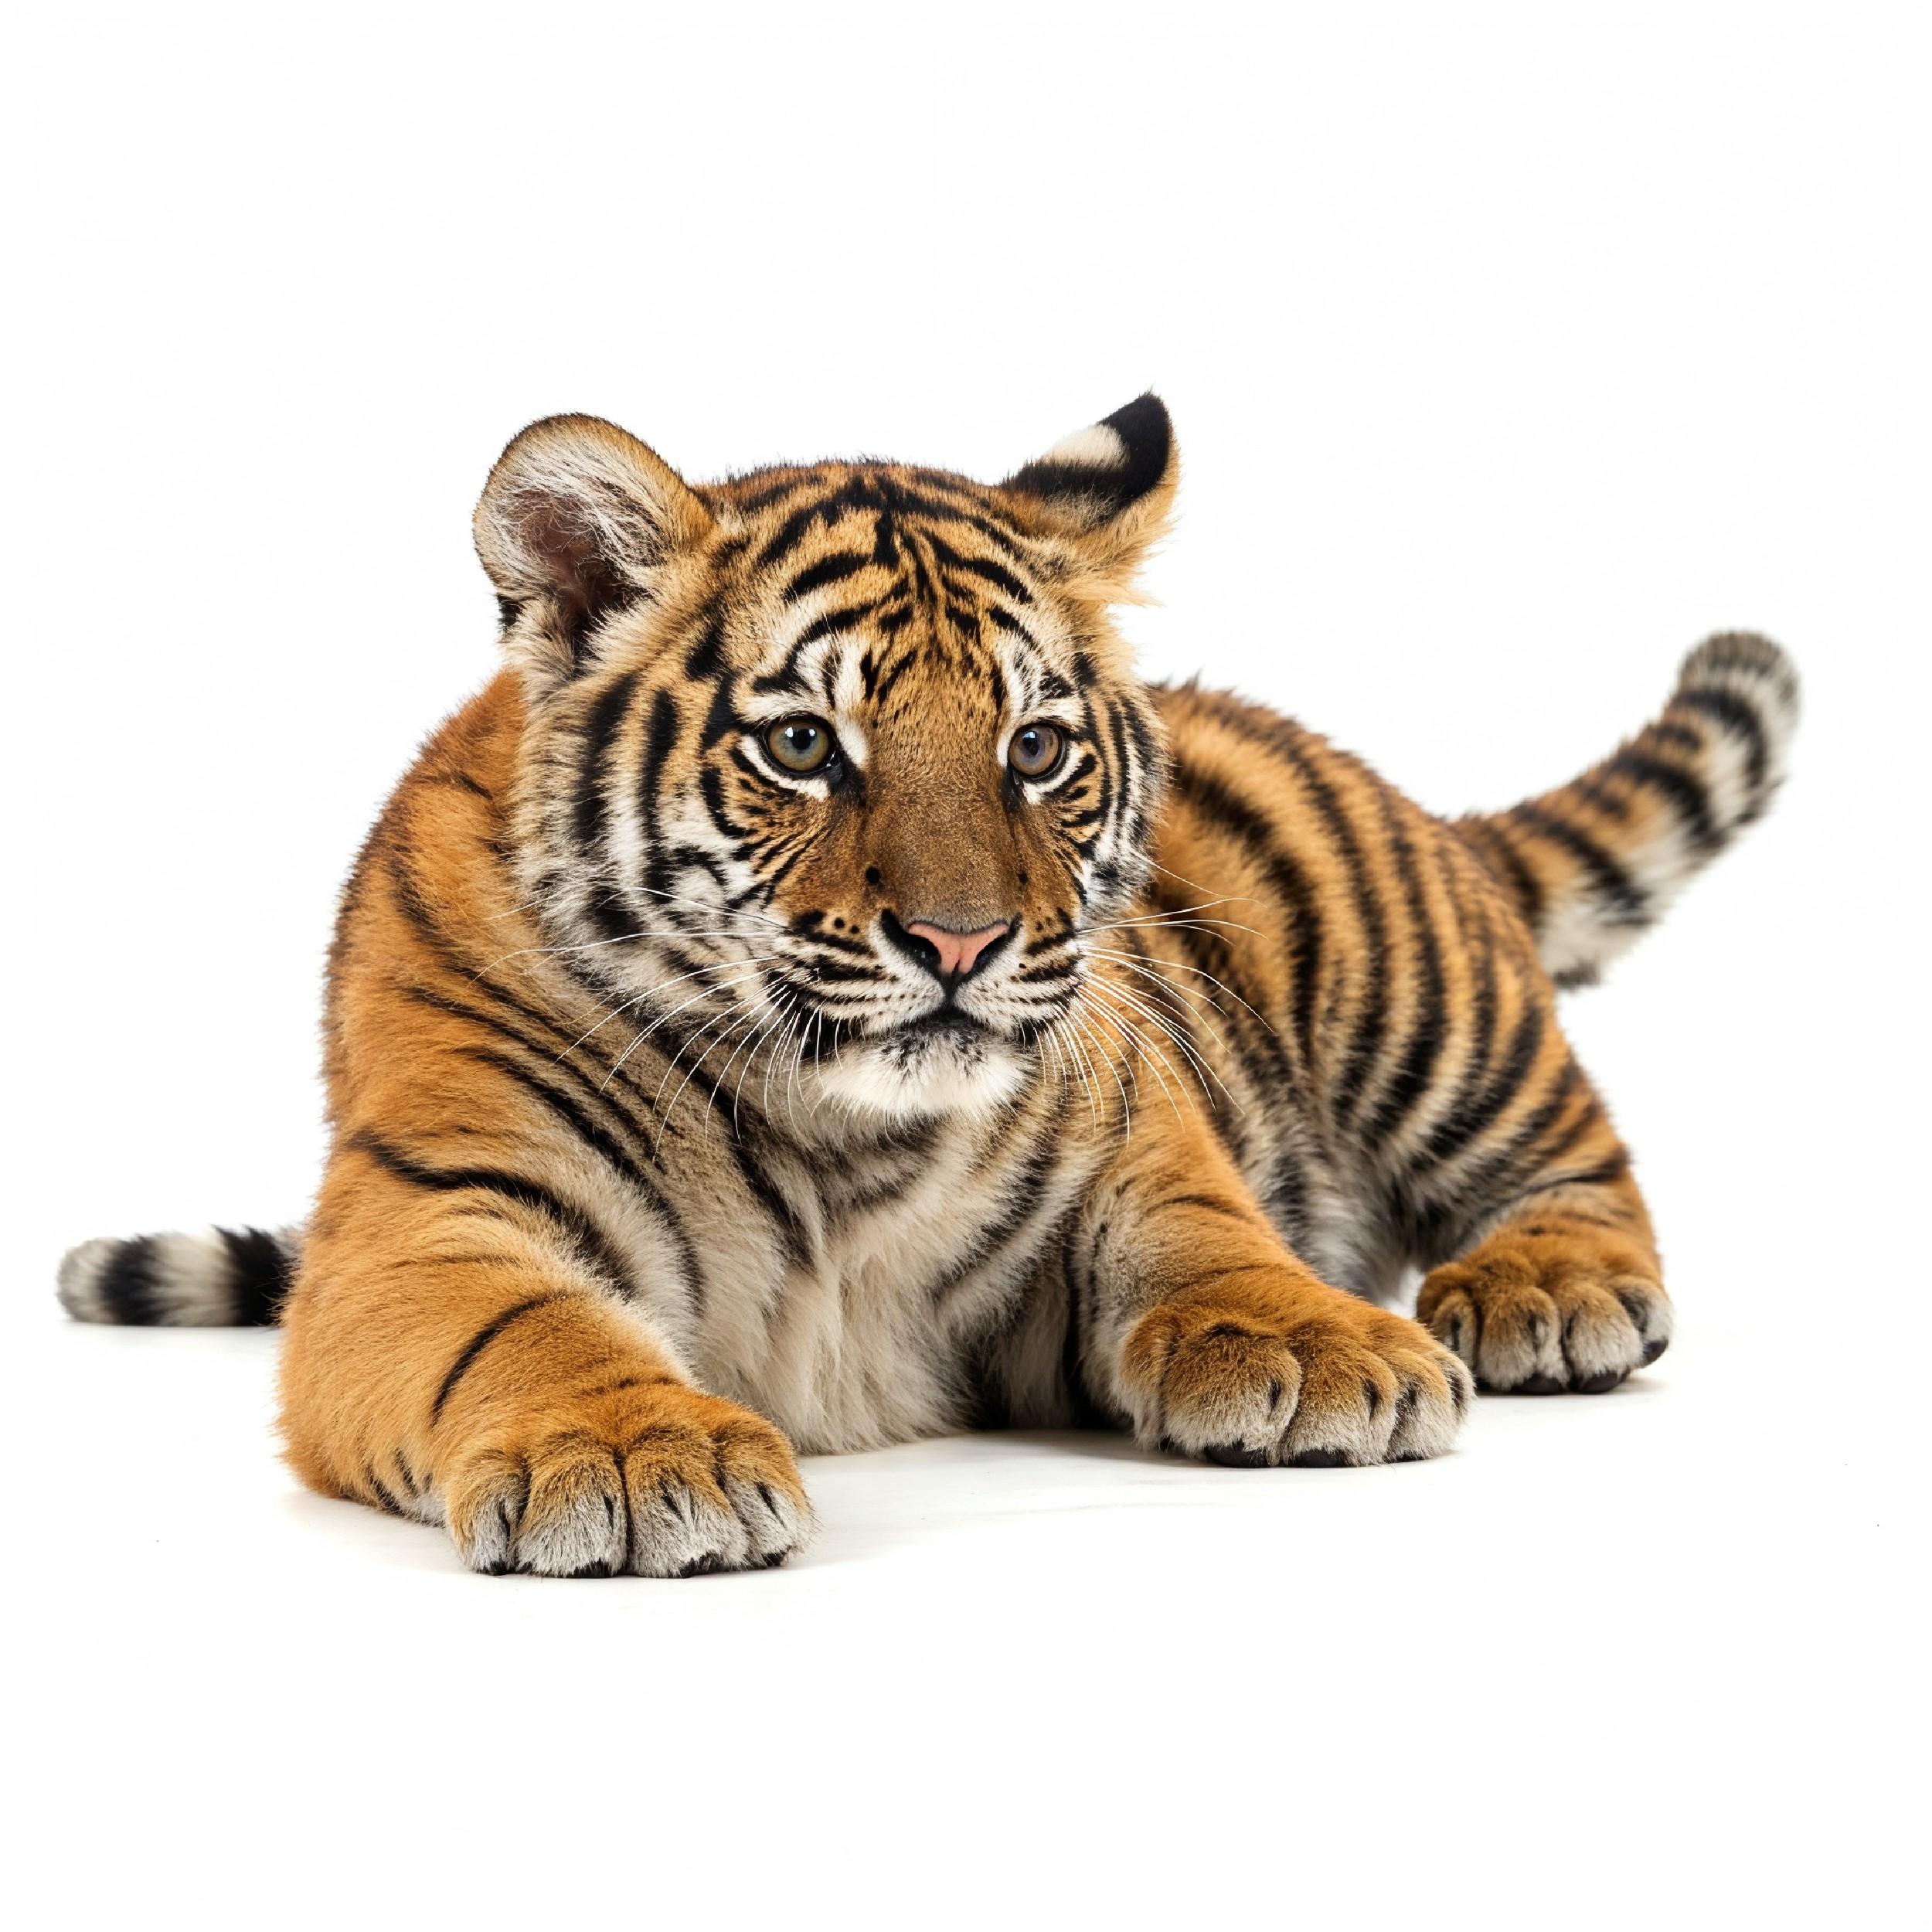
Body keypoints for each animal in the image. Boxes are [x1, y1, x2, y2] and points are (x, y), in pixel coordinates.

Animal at [56, 395, 1800, 1577]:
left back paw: (1541, 1294)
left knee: (1577, 1156)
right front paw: (633, 1449)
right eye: (801, 744)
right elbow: (532, 1326)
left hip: (1410, 985)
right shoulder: (425, 1225)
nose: (961, 942)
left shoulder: (1132, 1132)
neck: (829, 1126)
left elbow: (1203, 1234)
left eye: (1032, 749)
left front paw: (1321, 1347)